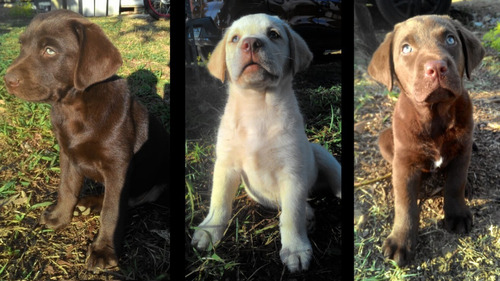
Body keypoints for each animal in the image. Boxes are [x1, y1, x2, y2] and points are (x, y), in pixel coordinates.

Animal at [189, 13, 342, 272]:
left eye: (273, 34)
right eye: (235, 38)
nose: (251, 43)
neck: (257, 107)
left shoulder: (292, 172)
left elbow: (291, 216)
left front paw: (295, 249)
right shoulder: (225, 165)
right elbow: (219, 201)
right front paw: (209, 232)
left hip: (322, 156)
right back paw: (309, 215)